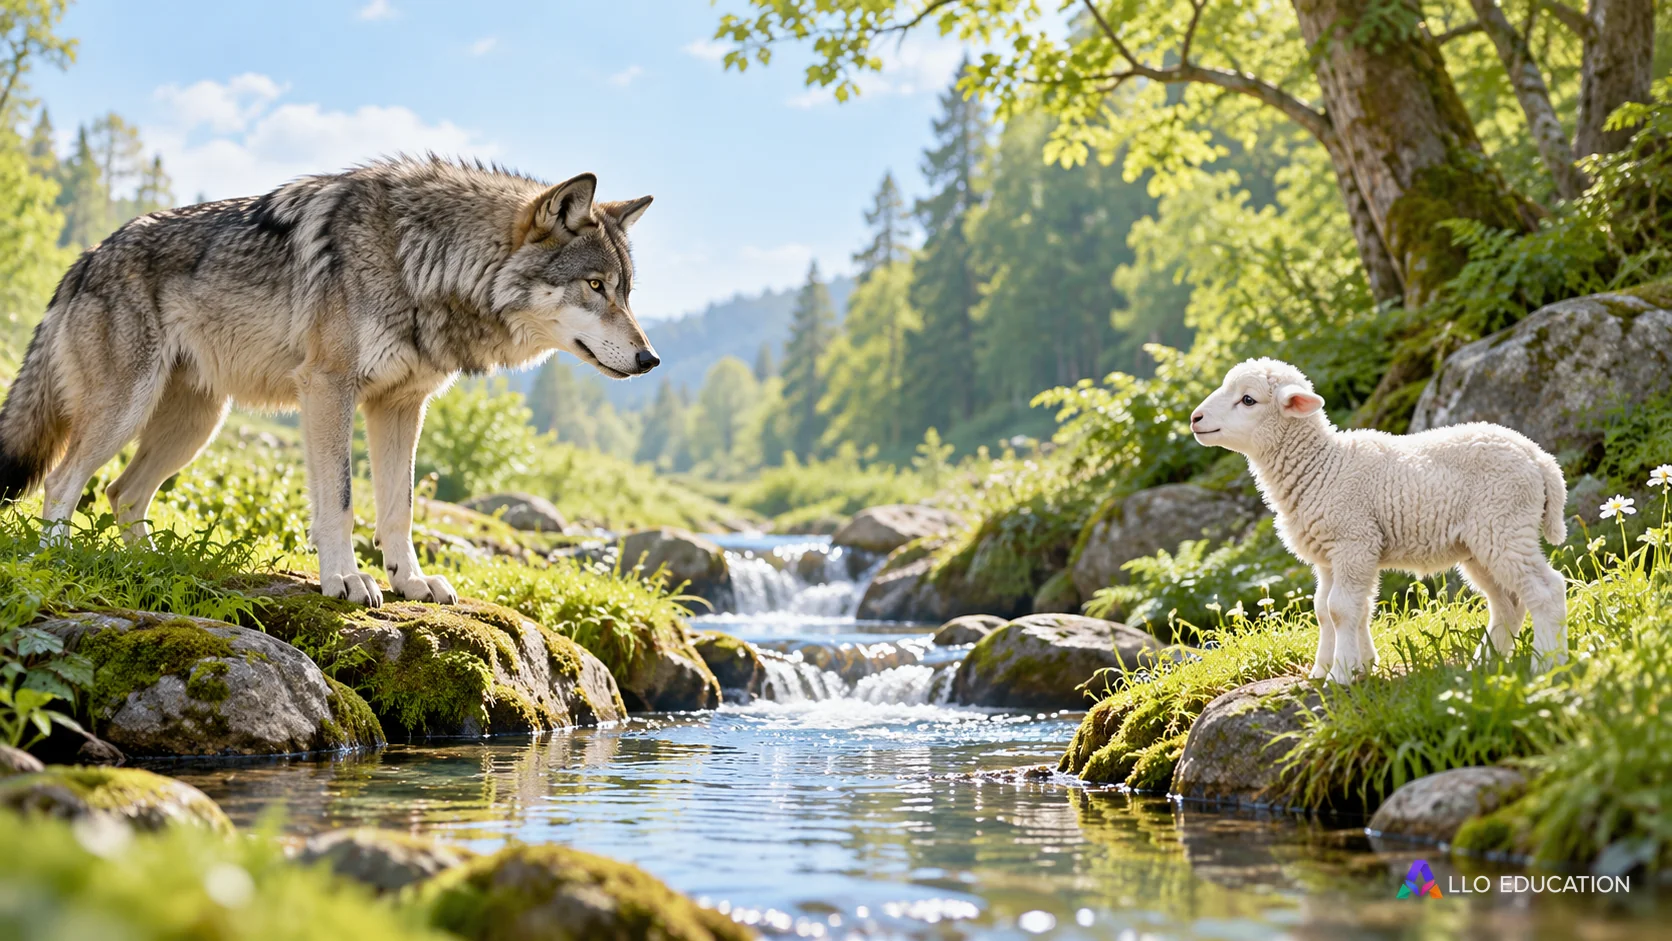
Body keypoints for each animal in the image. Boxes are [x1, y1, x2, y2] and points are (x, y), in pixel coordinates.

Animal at [0, 156, 659, 607]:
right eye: (595, 287)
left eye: (626, 292)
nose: (649, 358)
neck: (424, 260)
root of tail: (84, 257)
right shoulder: (328, 389)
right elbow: (340, 502)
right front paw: (344, 579)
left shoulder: (400, 406)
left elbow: (399, 509)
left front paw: (411, 582)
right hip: (127, 412)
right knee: (63, 482)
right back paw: (60, 560)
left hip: (194, 427)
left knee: (121, 493)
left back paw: (154, 570)